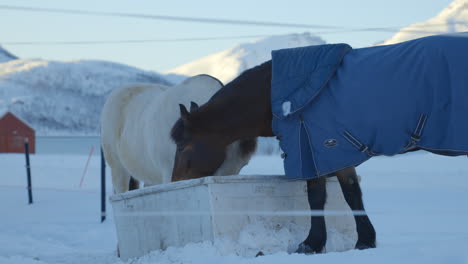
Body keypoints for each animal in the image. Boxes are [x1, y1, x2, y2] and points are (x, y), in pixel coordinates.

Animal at [172, 59, 376, 254]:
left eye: (181, 146)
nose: (174, 180)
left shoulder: (315, 150)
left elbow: (320, 195)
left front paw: (312, 243)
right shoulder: (329, 153)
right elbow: (350, 193)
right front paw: (364, 240)